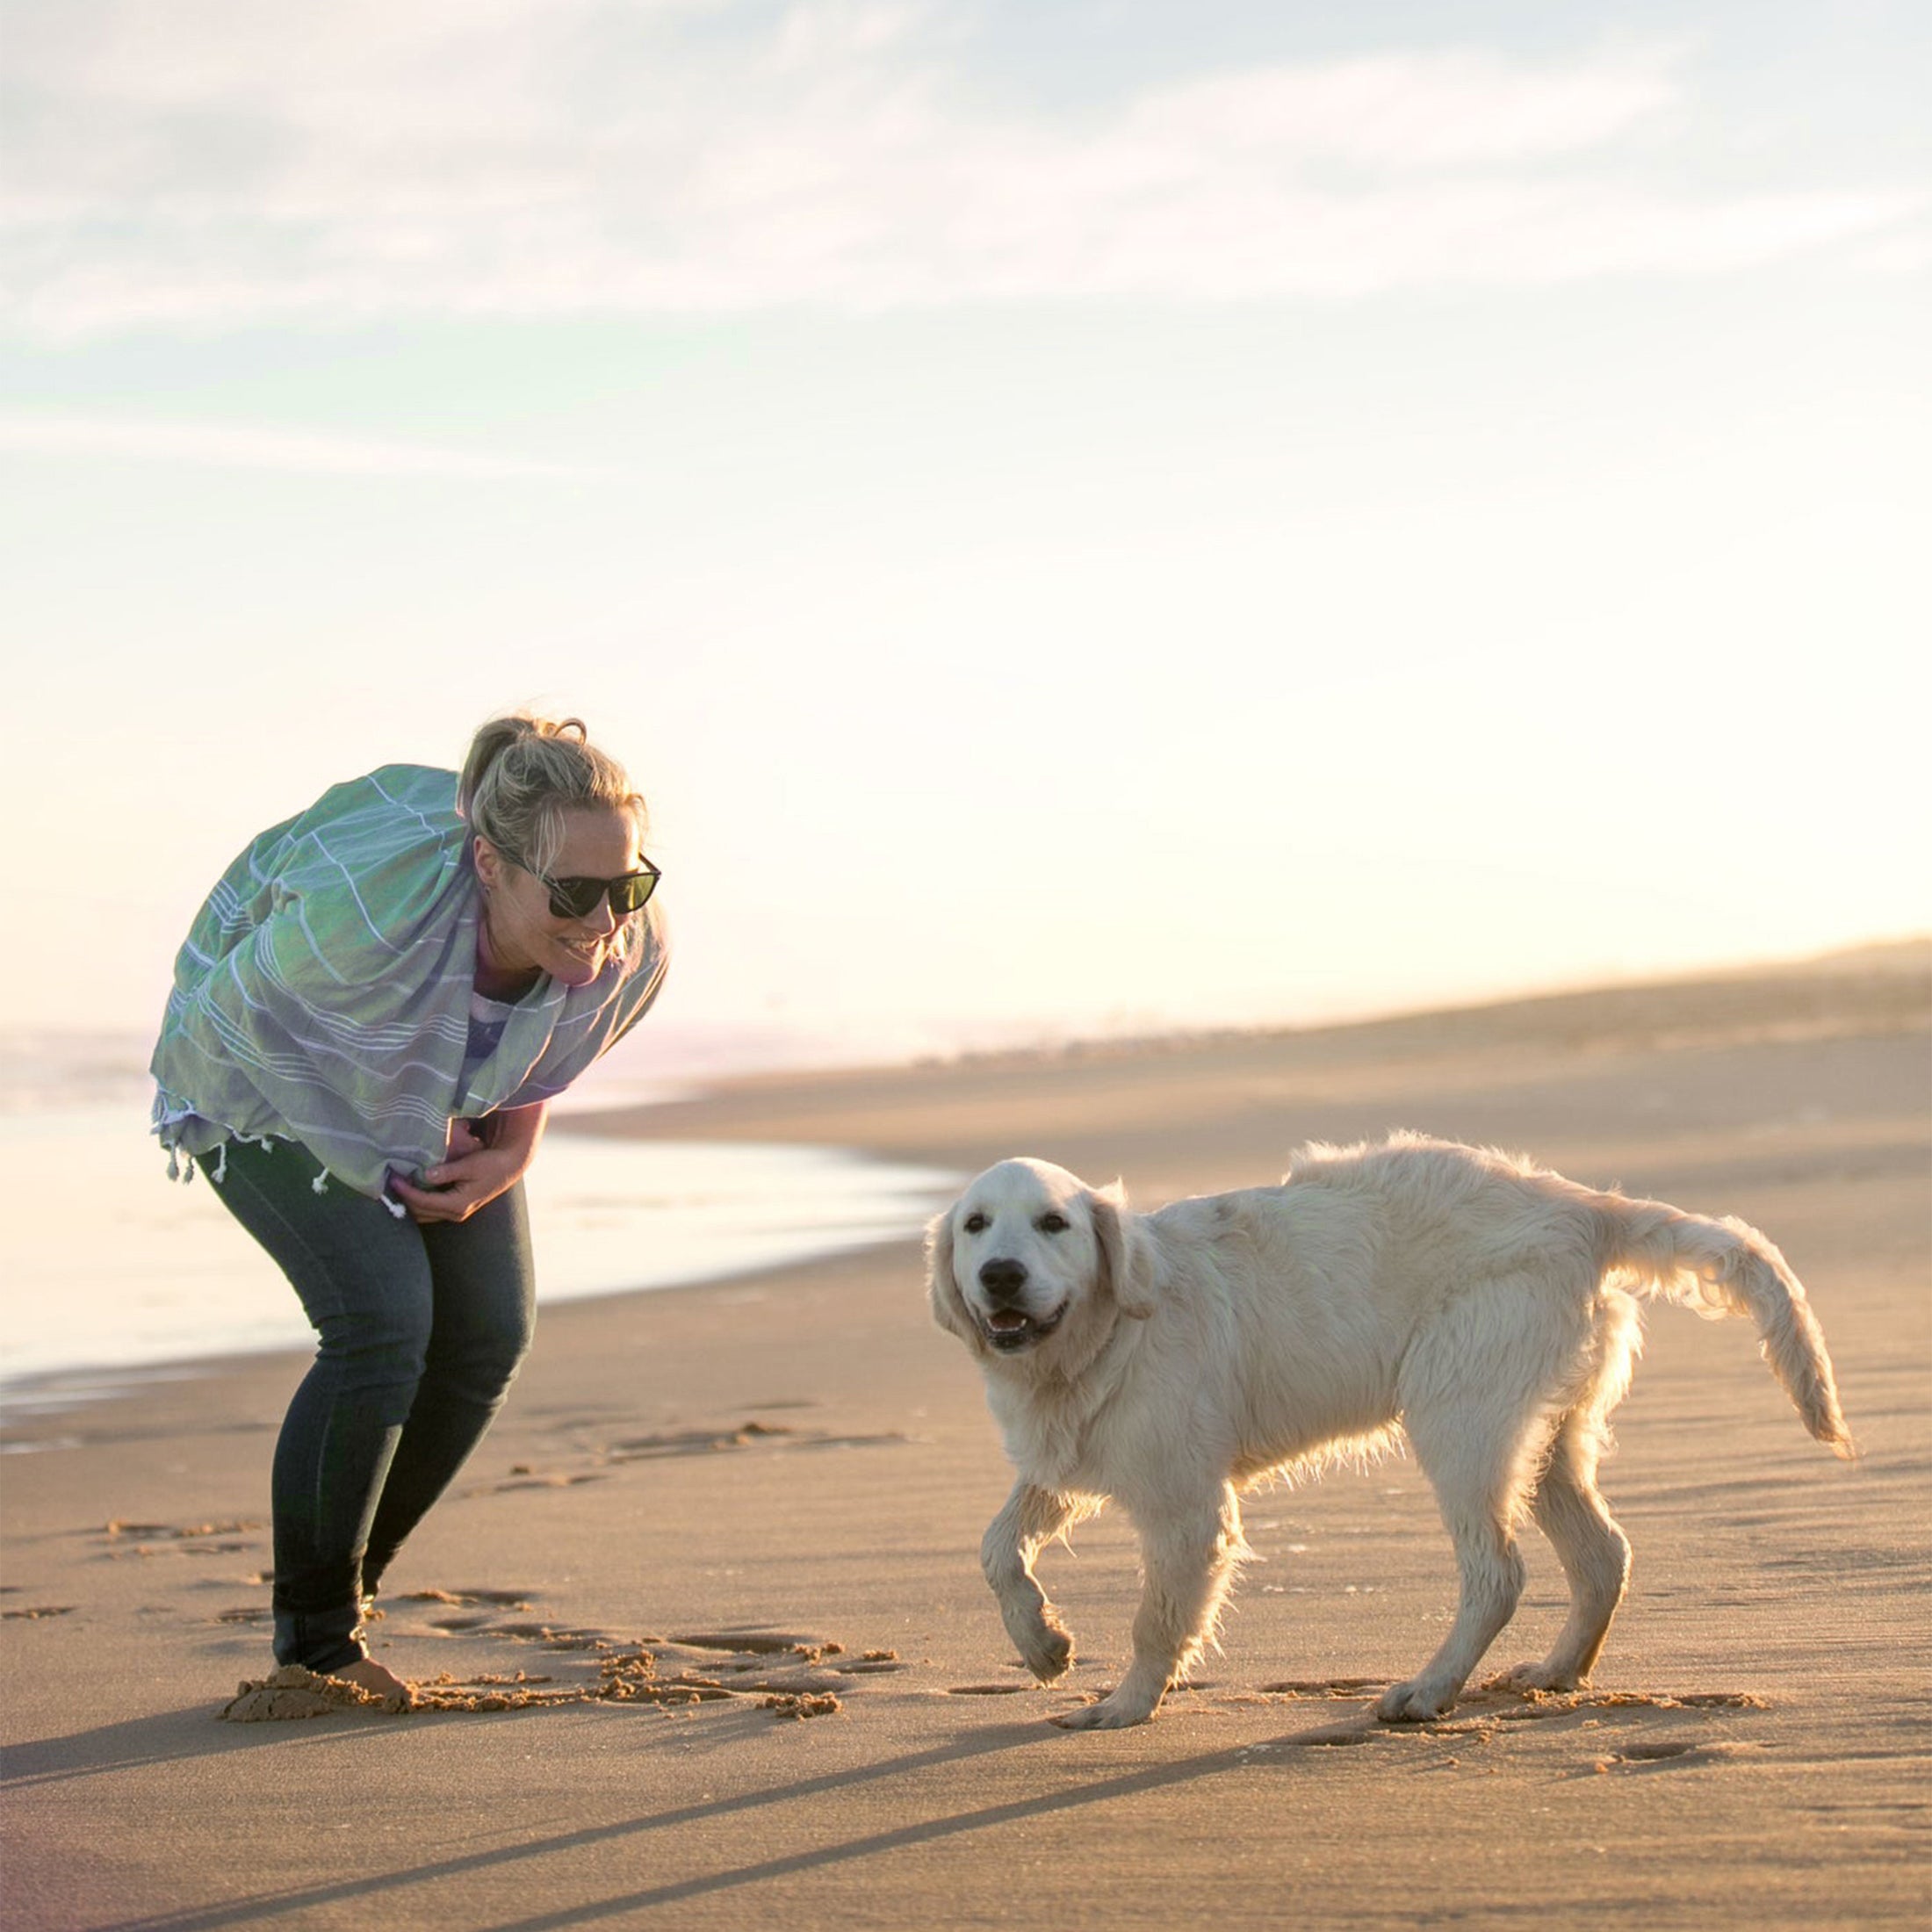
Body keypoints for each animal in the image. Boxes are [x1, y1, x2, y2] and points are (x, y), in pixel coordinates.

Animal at [927, 1128, 1847, 1731]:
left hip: (1459, 1417)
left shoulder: (1186, 1503)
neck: (1104, 1332)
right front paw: (1042, 1644)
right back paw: (1557, 1672)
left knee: (1498, 1574)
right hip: (1541, 1430)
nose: (999, 1276)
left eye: (1054, 1224)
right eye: (975, 1226)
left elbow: (1156, 1619)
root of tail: (1581, 1207)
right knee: (1602, 1556)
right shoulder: (1075, 1452)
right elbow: (995, 1545)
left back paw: (1430, 1690)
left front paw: (1124, 1704)